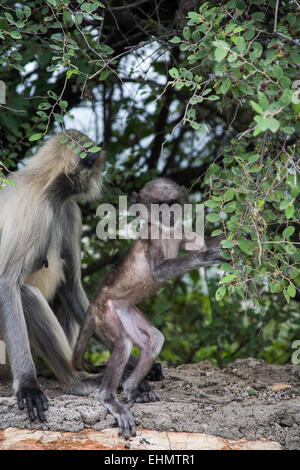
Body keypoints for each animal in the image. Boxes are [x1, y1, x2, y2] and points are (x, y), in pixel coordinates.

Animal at [0, 131, 159, 422]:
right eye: (96, 164)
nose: (102, 178)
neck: (47, 188)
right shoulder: (33, 207)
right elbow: (7, 282)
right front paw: (28, 385)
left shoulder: (69, 209)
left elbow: (72, 288)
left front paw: (135, 361)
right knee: (25, 293)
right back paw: (78, 381)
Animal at [73, 178, 225, 438]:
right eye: (159, 206)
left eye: (172, 204)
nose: (169, 216)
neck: (166, 231)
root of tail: (94, 300)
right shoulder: (152, 237)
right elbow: (159, 271)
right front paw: (204, 258)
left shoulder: (178, 231)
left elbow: (203, 243)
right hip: (106, 309)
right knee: (123, 344)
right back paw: (109, 398)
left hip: (124, 309)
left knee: (154, 340)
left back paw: (132, 388)